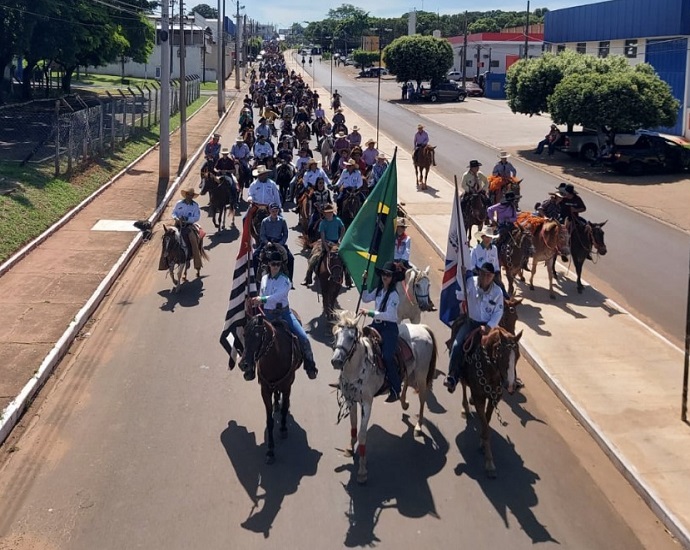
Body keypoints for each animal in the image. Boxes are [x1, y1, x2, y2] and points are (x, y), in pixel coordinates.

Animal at [242, 310, 300, 466]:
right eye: (244, 334)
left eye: (257, 336)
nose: (243, 364)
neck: (275, 358)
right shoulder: (265, 391)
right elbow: (269, 421)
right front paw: (270, 451)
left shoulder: (287, 387)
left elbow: (285, 408)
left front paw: (283, 429)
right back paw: (276, 404)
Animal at [330, 312, 436, 486]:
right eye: (336, 335)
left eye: (351, 337)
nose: (336, 361)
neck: (358, 367)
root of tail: (422, 327)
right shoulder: (350, 399)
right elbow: (353, 426)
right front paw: (350, 448)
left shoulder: (367, 404)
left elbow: (362, 434)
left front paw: (362, 471)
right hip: (410, 372)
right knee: (405, 381)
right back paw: (403, 401)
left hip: (421, 375)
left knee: (422, 399)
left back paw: (419, 426)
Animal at [456, 328, 520, 478]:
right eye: (501, 355)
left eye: (518, 356)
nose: (511, 385)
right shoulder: (479, 397)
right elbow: (485, 426)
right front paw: (489, 462)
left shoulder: (494, 398)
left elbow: (487, 419)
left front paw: (482, 442)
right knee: (463, 385)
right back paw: (465, 408)